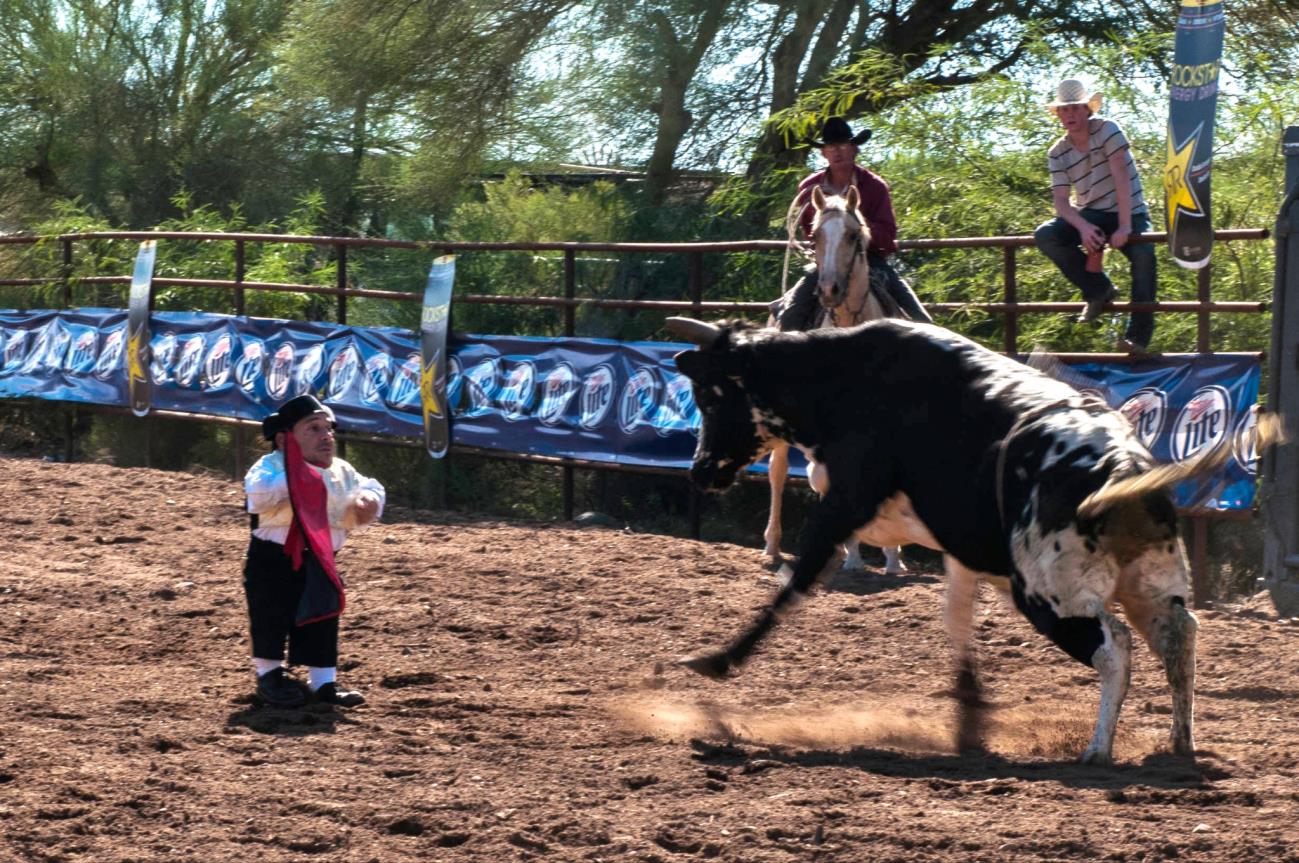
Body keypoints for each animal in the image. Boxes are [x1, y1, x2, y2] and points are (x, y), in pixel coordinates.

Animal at [670, 315, 1215, 764]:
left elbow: (794, 584)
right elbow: (955, 618)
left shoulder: (845, 503)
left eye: (710, 397)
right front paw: (968, 714)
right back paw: (1180, 743)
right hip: (1148, 583)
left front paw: (717, 661)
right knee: (1179, 633)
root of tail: (1119, 467)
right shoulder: (962, 550)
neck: (846, 380)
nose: (700, 472)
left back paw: (1098, 749)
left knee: (1114, 647)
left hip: (1050, 596)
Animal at [758, 185, 904, 571]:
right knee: (778, 472)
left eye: (854, 235)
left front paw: (893, 558)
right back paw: (773, 545)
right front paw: (853, 556)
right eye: (816, 236)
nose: (828, 290)